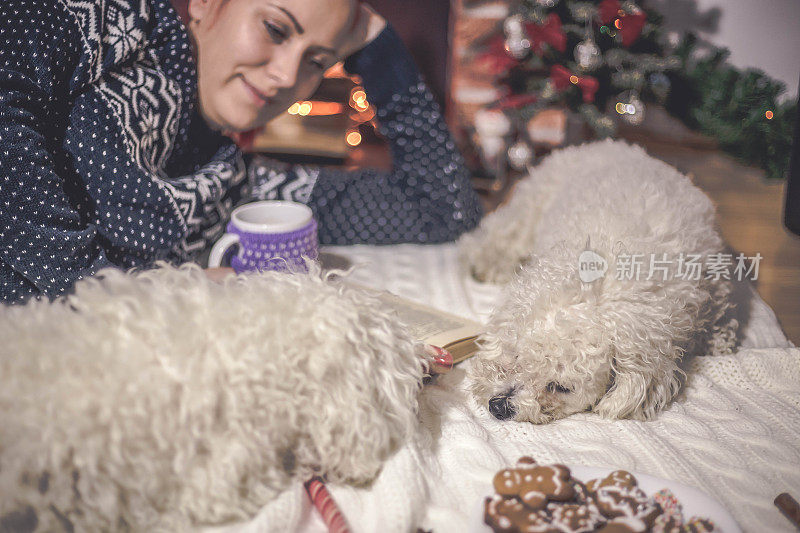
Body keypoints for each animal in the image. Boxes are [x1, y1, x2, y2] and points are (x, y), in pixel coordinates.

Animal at [462, 140, 736, 424]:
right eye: (516, 354)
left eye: (560, 387)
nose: (498, 406)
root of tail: (607, 144)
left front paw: (718, 337)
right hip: (530, 206)